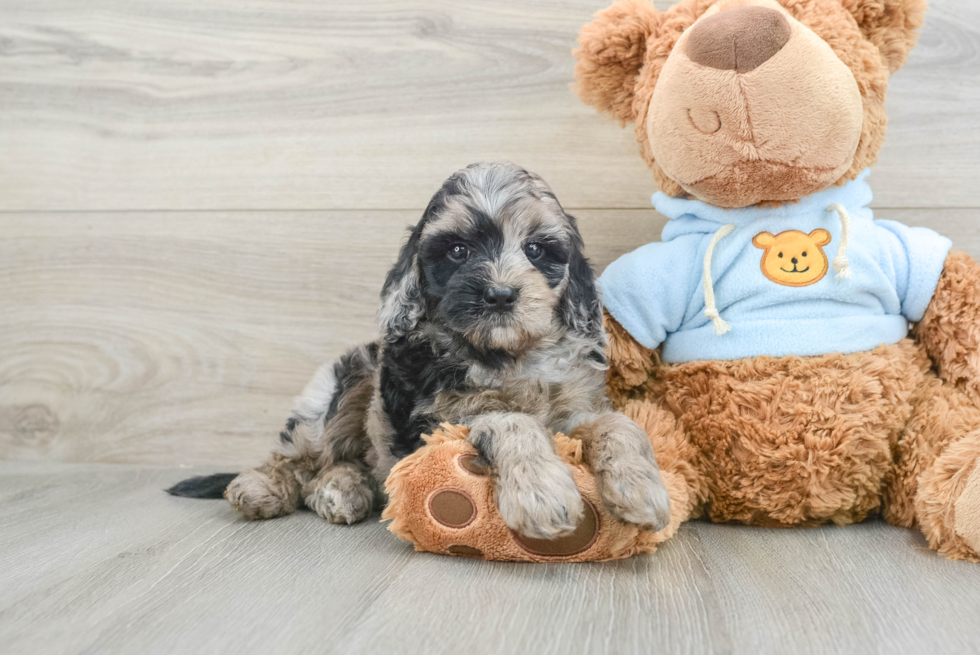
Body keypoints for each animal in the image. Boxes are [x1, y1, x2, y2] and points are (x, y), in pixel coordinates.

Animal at [170, 163, 672, 540]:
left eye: (535, 249)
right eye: (457, 250)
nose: (500, 294)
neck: (504, 354)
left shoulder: (574, 408)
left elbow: (619, 424)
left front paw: (643, 489)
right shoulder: (440, 421)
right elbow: (511, 420)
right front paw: (542, 493)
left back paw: (343, 490)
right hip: (343, 382)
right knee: (298, 458)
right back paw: (261, 488)